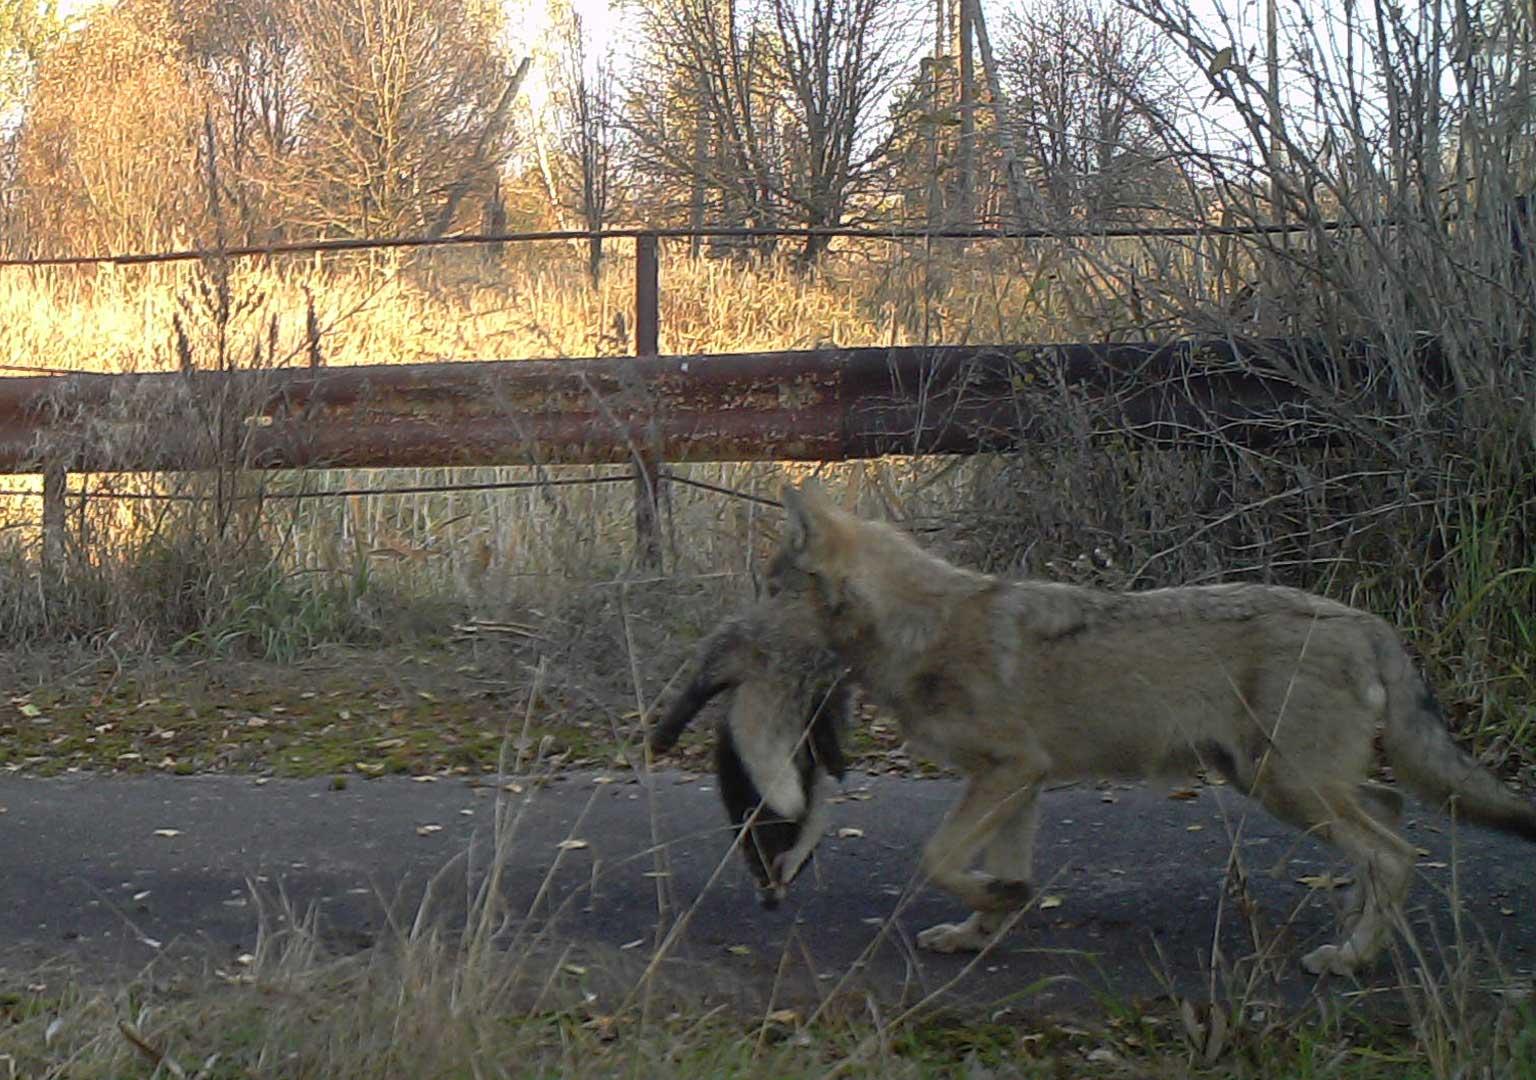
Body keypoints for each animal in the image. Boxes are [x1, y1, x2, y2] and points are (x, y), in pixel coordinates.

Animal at [648, 589, 854, 909]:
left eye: (797, 870)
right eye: (764, 859)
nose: (771, 901)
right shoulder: (736, 769)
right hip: (741, 640)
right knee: (705, 679)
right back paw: (665, 732)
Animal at [774, 485, 1529, 977]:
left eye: (767, 584)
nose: (739, 622)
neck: (921, 625)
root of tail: (1366, 621)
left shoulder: (1007, 773)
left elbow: (936, 858)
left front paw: (990, 907)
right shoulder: (1019, 782)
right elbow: (999, 874)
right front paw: (980, 928)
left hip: (1283, 784)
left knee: (1395, 852)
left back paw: (1350, 957)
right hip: (1275, 781)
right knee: (1391, 814)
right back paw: (1357, 928)